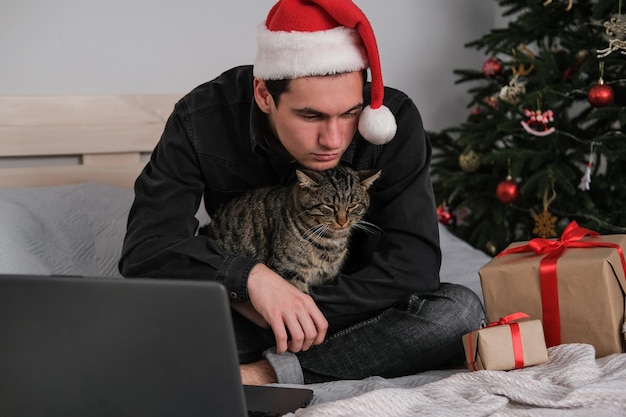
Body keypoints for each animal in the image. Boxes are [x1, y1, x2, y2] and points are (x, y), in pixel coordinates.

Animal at [206, 164, 380, 290]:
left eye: (353, 205)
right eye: (329, 206)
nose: (342, 221)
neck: (331, 241)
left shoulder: (326, 276)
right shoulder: (289, 272)